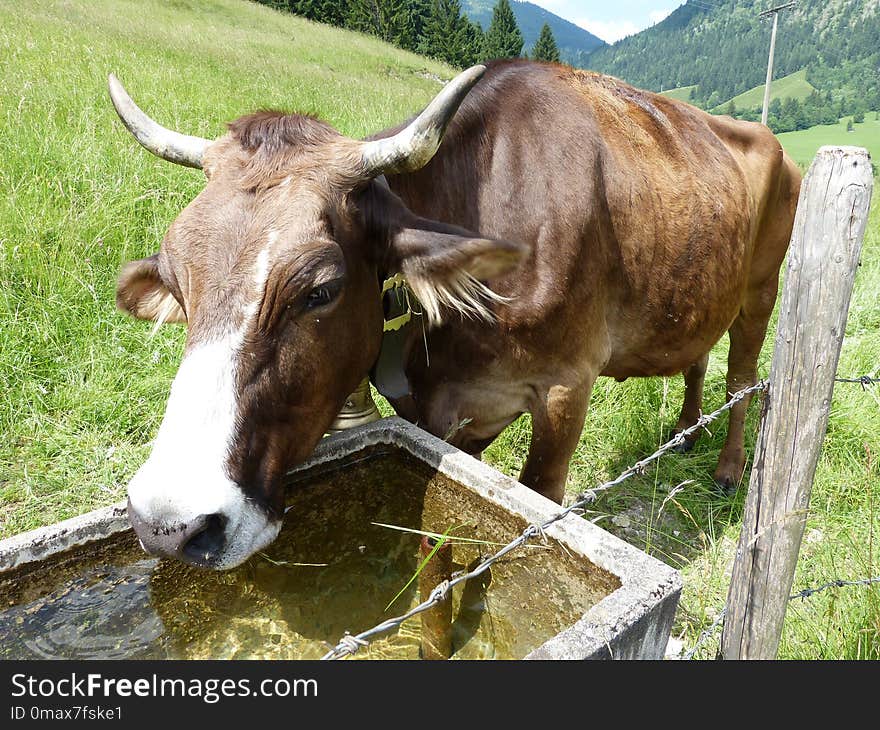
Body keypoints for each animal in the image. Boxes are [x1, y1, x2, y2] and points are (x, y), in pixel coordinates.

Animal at [108, 59, 796, 564]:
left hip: (762, 289)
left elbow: (532, 502)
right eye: (178, 280)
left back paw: (729, 468)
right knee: (698, 359)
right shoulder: (439, 409)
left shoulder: (566, 386)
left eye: (320, 290)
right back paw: (688, 431)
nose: (169, 523)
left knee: (744, 378)